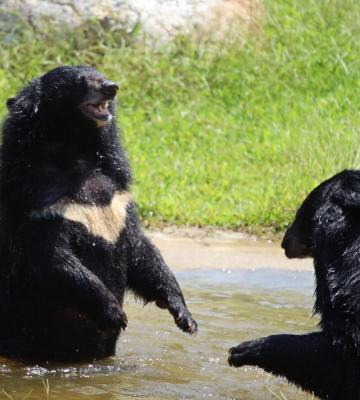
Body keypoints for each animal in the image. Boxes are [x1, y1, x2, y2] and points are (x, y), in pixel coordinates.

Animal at [0, 65, 197, 360]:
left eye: (100, 74)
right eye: (81, 81)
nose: (111, 87)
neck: (75, 150)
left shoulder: (119, 197)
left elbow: (143, 253)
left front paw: (185, 317)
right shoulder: (39, 201)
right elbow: (50, 259)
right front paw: (116, 313)